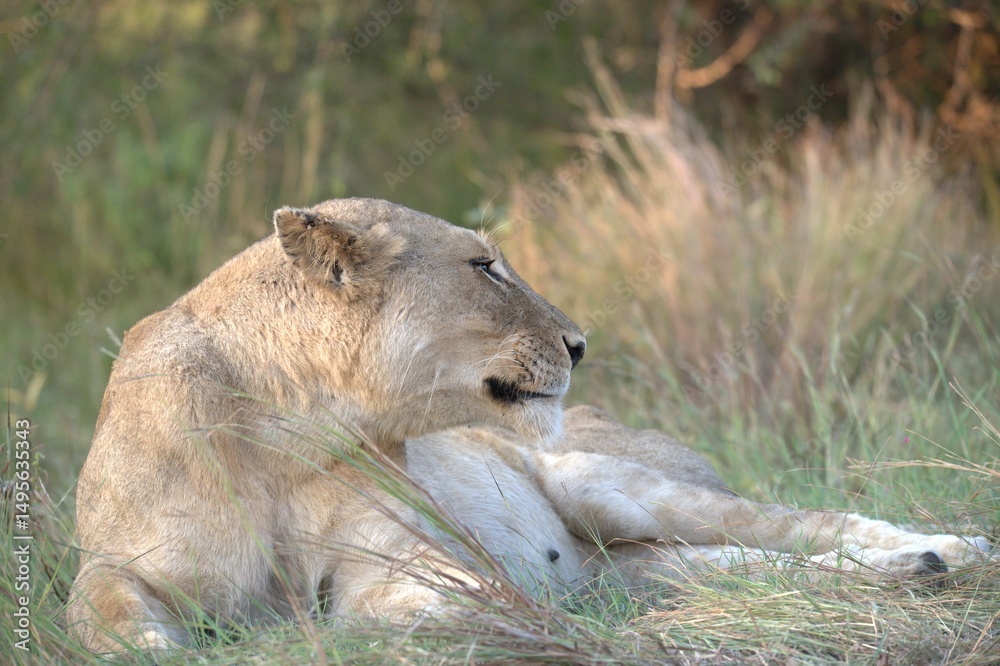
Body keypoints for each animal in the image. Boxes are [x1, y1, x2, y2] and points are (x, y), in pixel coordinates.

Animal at [68, 198, 992, 653]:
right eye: (483, 266)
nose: (581, 343)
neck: (291, 423)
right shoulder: (119, 560)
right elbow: (99, 610)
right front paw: (166, 645)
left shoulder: (423, 565)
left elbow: (389, 613)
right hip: (643, 563)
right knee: (753, 571)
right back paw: (905, 573)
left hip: (608, 482)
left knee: (811, 525)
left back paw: (948, 553)